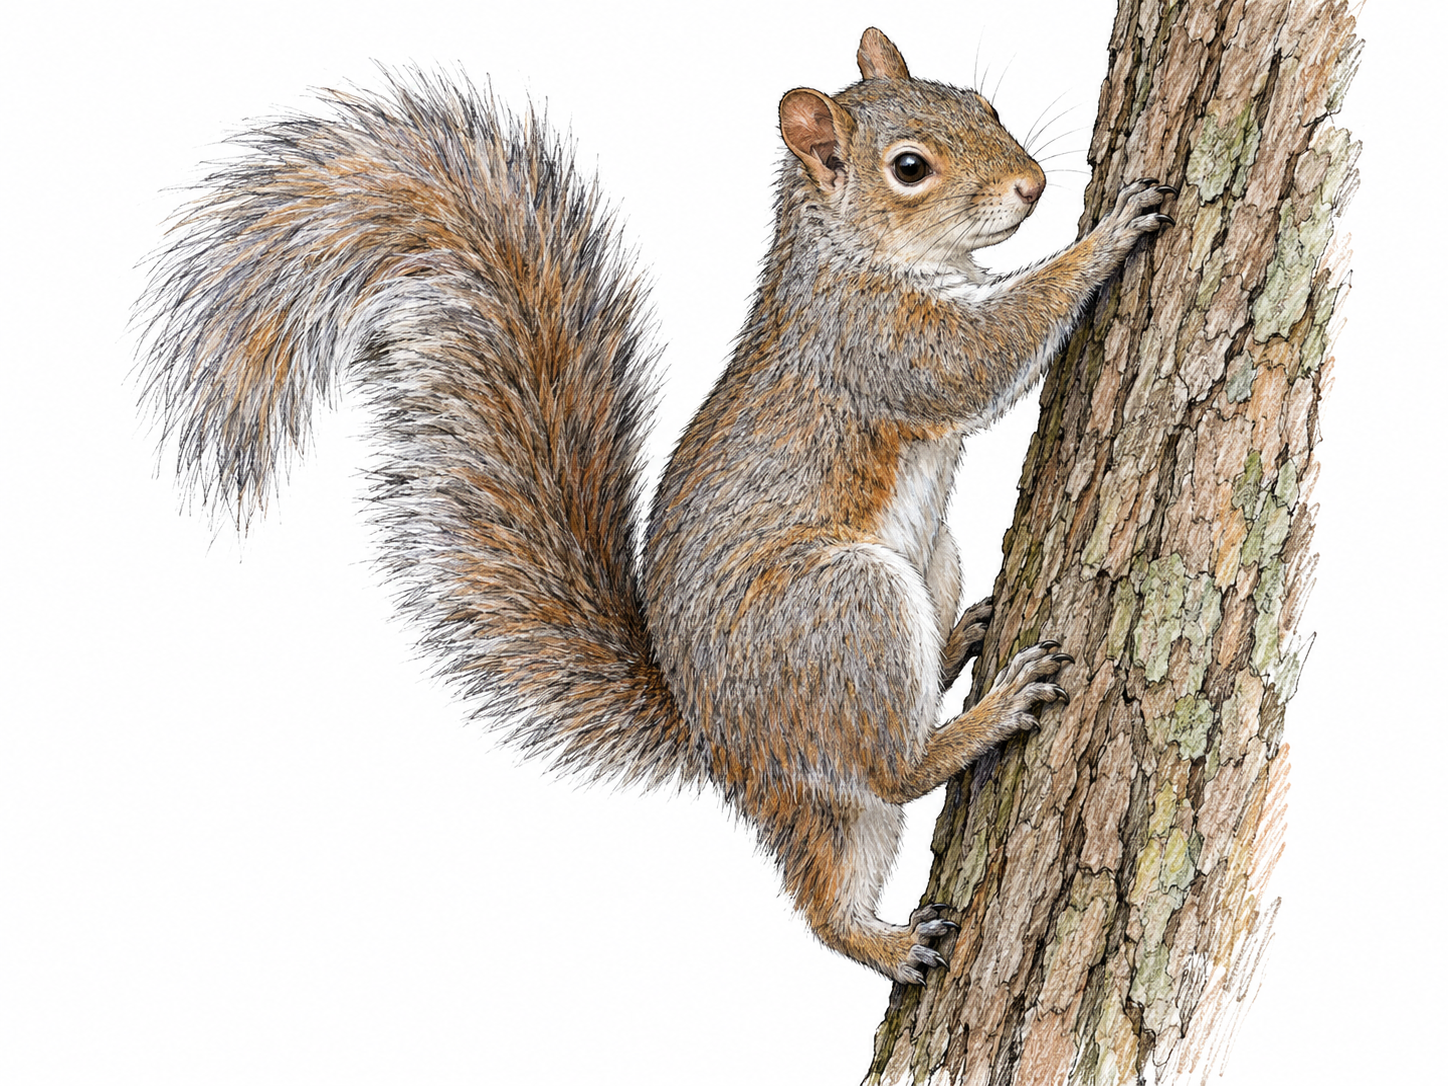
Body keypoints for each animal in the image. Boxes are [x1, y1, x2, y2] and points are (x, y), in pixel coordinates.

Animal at [137, 28, 1173, 984]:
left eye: (982, 105)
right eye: (909, 168)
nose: (1034, 185)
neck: (855, 254)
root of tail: (716, 736)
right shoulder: (876, 344)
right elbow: (988, 355)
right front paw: (1107, 236)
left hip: (920, 577)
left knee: (833, 878)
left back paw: (954, 666)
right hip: (841, 610)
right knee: (887, 778)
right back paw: (980, 731)